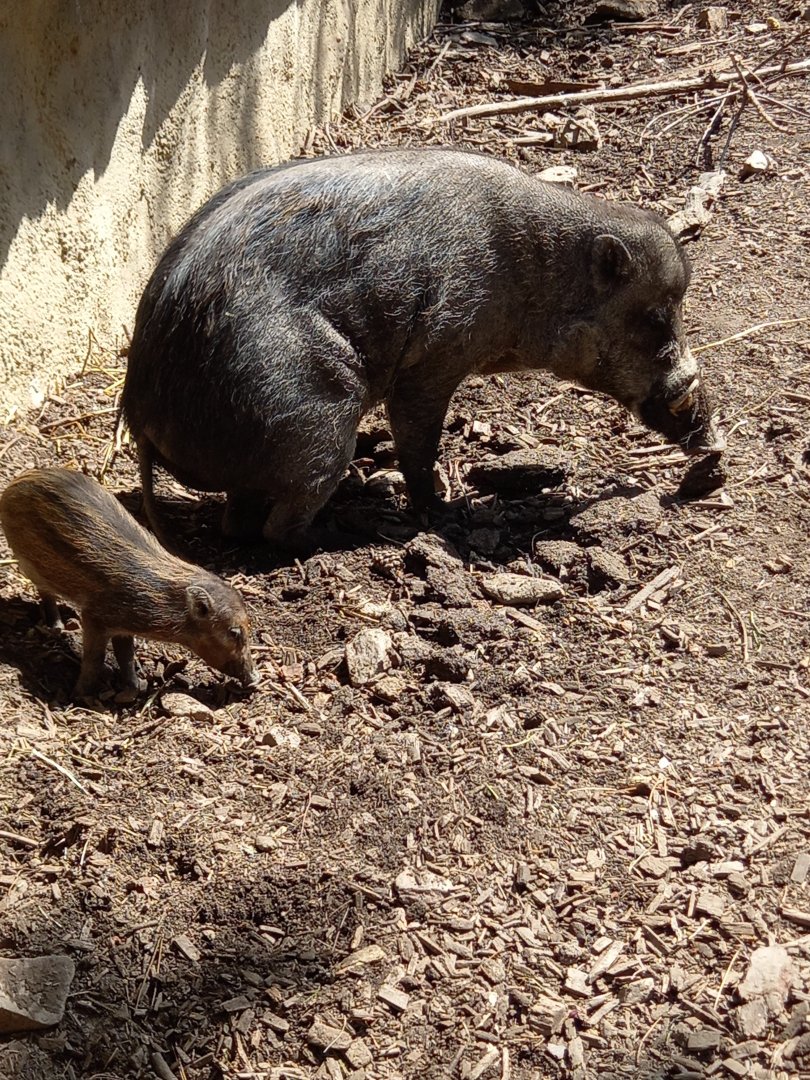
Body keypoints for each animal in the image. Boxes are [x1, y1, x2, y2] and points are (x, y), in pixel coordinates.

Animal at [0, 467, 258, 697]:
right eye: (234, 632)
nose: (254, 679)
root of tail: (15, 483)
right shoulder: (95, 617)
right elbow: (95, 658)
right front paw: (79, 696)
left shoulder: (122, 627)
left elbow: (126, 655)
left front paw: (136, 687)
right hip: (29, 562)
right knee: (45, 592)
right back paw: (57, 627)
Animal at [120, 147, 724, 548]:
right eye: (654, 318)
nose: (713, 443)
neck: (531, 278)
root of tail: (141, 412)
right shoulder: (435, 357)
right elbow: (418, 438)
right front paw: (442, 509)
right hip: (313, 422)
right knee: (276, 527)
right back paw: (335, 534)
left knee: (238, 519)